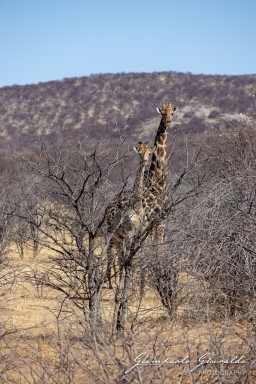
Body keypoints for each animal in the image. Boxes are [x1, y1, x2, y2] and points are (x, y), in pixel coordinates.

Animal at [105, 141, 153, 288]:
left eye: (149, 152)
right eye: (140, 152)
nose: (145, 161)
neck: (137, 205)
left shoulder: (138, 235)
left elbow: (134, 258)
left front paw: (133, 283)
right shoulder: (128, 234)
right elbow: (126, 259)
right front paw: (126, 284)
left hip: (121, 240)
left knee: (119, 257)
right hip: (114, 237)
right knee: (114, 256)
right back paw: (115, 283)